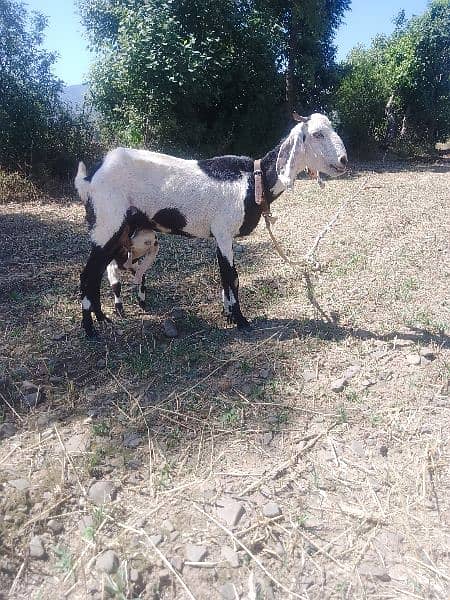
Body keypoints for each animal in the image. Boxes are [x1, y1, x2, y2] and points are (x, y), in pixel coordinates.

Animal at [74, 112, 348, 338]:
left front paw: (228, 314)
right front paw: (241, 320)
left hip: (119, 233)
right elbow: (231, 276)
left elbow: (227, 277)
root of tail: (90, 179)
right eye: (317, 134)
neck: (254, 181)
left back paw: (103, 319)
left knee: (99, 273)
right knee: (88, 274)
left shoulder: (221, 236)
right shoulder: (224, 232)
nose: (344, 160)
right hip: (107, 226)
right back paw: (89, 329)